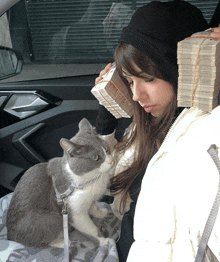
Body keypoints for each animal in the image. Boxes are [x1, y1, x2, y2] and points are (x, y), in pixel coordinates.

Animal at [6, 118, 114, 250]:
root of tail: (9, 236)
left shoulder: (89, 199)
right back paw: (64, 242)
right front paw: (102, 240)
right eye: (95, 157)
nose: (111, 161)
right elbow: (90, 228)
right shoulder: (75, 213)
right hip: (51, 219)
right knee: (43, 243)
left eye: (107, 149)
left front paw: (101, 213)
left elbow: (93, 207)